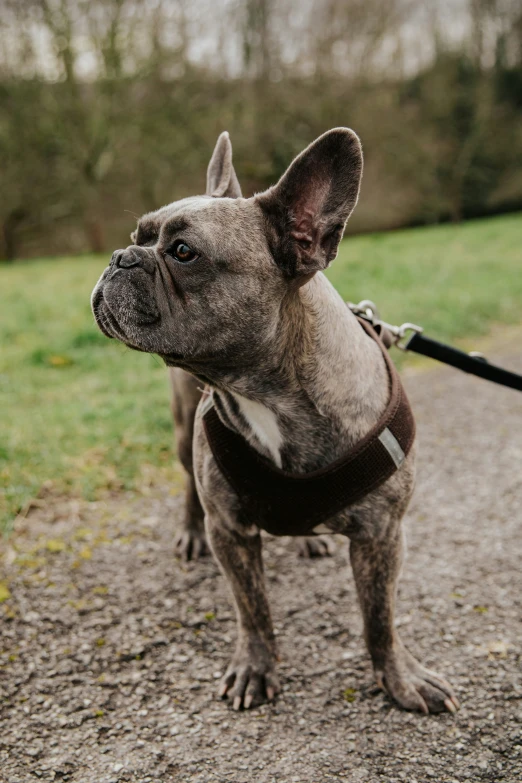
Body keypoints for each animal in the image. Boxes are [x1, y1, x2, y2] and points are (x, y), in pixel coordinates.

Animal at [91, 129, 458, 716]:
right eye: (138, 236)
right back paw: (189, 534)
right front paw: (255, 669)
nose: (120, 256)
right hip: (181, 435)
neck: (266, 393)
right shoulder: (230, 532)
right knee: (188, 486)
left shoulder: (382, 533)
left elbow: (379, 617)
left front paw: (400, 678)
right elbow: (253, 610)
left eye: (183, 252)